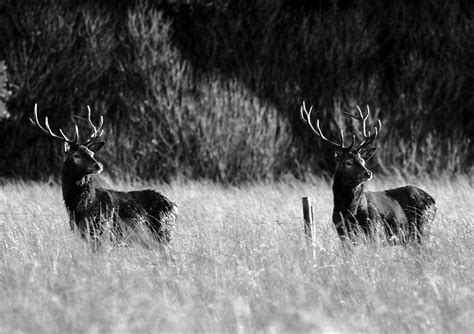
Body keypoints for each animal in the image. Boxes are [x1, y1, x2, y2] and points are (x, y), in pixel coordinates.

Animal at [29, 104, 178, 245]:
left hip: (162, 232)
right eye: (76, 155)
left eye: (91, 153)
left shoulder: (100, 230)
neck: (82, 207)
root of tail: (174, 206)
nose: (98, 165)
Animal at [300, 103, 436, 247]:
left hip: (423, 227)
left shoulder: (374, 229)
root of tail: (433, 200)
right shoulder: (342, 233)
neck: (349, 212)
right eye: (348, 162)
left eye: (362, 160)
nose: (368, 173)